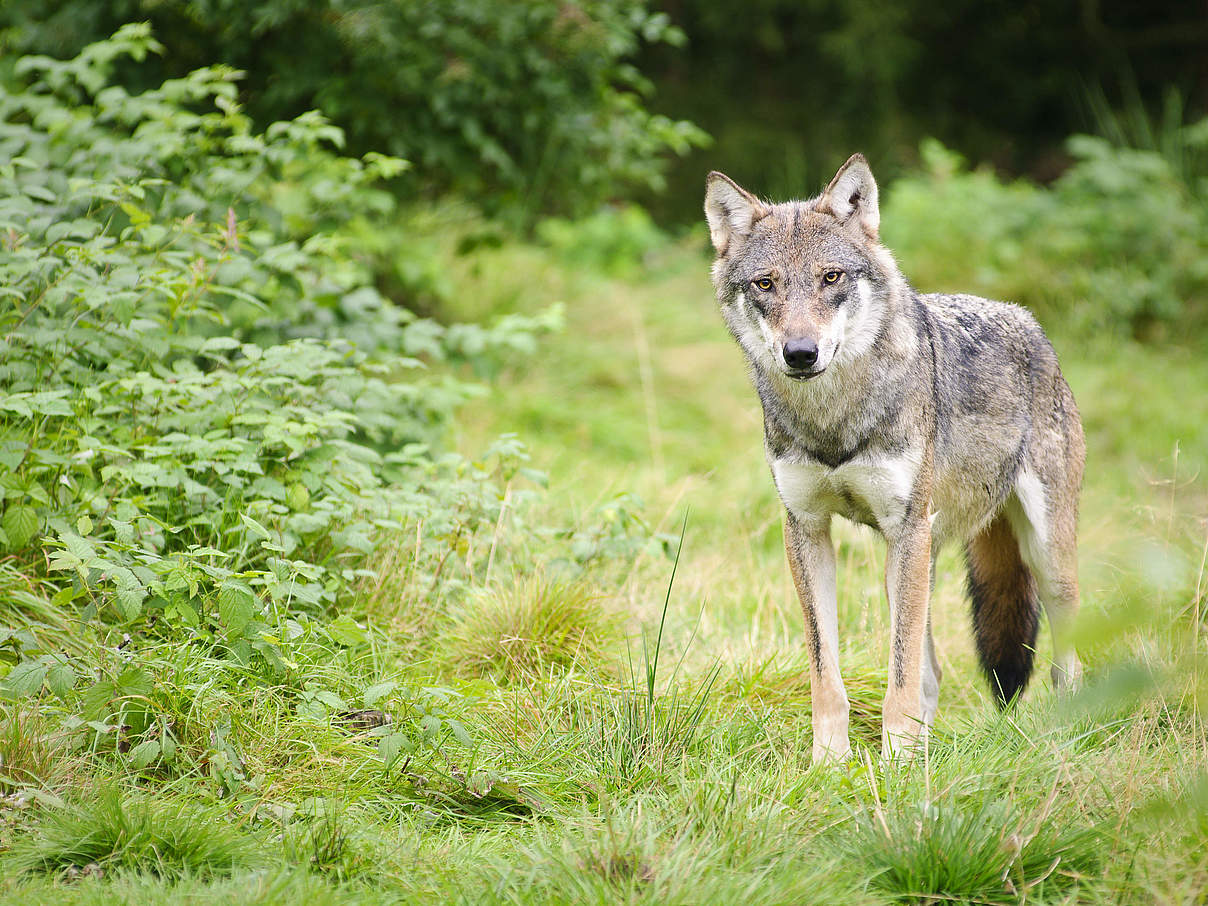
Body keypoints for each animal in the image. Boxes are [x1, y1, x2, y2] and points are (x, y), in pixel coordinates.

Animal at [700, 155, 1087, 768]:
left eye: (831, 278)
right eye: (766, 284)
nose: (801, 353)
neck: (834, 420)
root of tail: (1028, 321)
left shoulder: (905, 528)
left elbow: (898, 672)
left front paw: (898, 764)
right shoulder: (806, 529)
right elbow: (827, 671)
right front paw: (829, 762)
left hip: (1038, 556)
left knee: (1065, 664)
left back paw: (1063, 738)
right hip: (910, 559)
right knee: (932, 673)